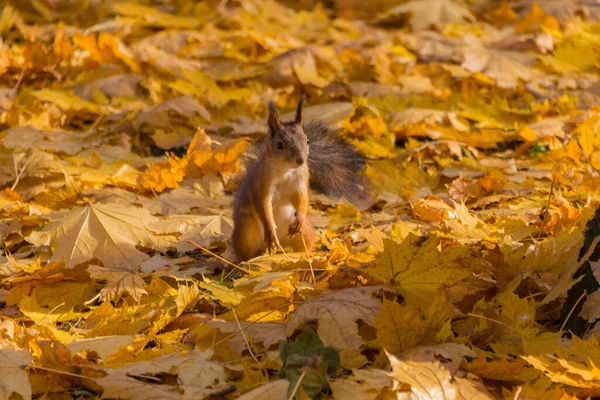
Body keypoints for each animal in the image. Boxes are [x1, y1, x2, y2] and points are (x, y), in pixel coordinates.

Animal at [231, 97, 368, 262]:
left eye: (307, 140)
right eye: (279, 145)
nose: (300, 160)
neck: (286, 170)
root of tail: (282, 243)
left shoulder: (301, 181)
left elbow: (302, 198)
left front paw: (301, 216)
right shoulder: (262, 184)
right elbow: (263, 205)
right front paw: (270, 229)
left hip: (305, 232)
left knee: (304, 244)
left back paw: (307, 255)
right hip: (246, 230)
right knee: (245, 251)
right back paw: (251, 258)